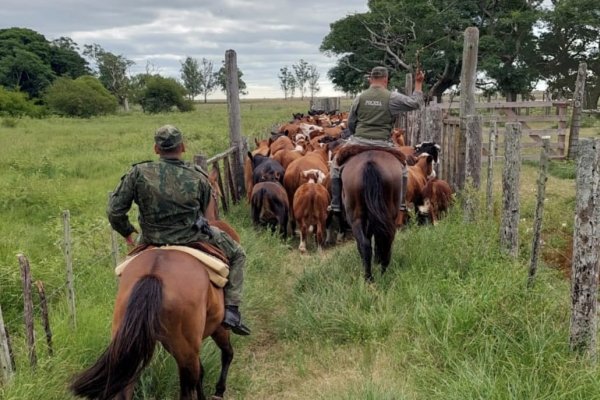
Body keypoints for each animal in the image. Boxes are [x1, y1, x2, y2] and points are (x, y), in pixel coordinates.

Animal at [340, 150, 406, 282]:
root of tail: (369, 163)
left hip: (356, 219)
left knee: (366, 245)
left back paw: (369, 277)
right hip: (387, 215)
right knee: (385, 239)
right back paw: (381, 272)